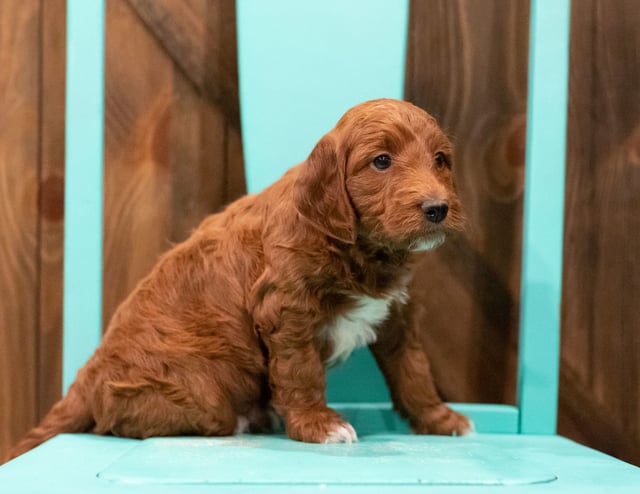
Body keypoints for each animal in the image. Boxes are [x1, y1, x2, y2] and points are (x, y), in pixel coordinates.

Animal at [8, 98, 470, 462]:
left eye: (440, 160)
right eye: (381, 161)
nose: (437, 208)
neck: (359, 247)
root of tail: (84, 380)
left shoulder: (396, 315)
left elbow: (413, 371)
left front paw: (439, 419)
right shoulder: (287, 309)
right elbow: (301, 371)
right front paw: (318, 425)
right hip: (196, 395)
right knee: (125, 423)